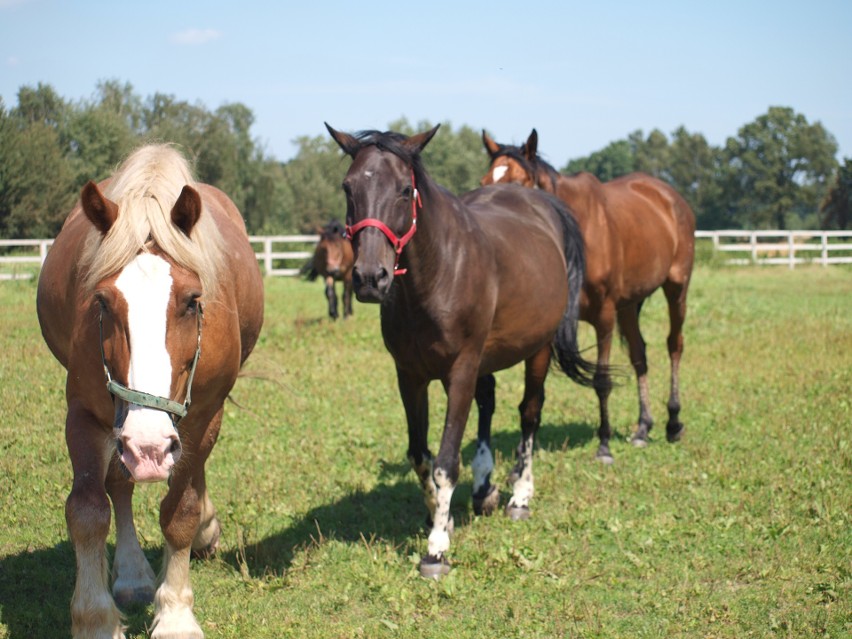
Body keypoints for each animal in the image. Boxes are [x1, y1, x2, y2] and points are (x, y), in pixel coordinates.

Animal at [36, 145, 262, 639]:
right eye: (102, 301)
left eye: (193, 301)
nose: (149, 447)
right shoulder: (85, 413)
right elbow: (88, 509)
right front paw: (95, 617)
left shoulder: (203, 415)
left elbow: (180, 511)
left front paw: (175, 613)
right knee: (119, 485)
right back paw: (134, 574)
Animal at [482, 127, 696, 462]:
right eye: (483, 182)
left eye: (518, 183)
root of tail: (669, 197)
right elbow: (537, 391)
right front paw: (524, 450)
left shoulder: (604, 316)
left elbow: (601, 381)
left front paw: (604, 445)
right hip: (629, 304)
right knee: (639, 355)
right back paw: (643, 428)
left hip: (676, 289)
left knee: (674, 345)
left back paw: (673, 423)